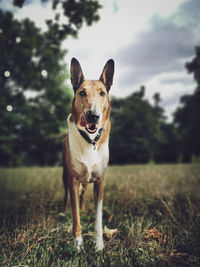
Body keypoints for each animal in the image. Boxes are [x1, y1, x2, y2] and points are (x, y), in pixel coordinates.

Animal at [63, 57, 115, 252]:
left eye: (102, 93)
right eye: (82, 93)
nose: (93, 116)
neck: (90, 140)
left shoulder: (99, 181)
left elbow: (98, 217)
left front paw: (99, 245)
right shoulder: (73, 180)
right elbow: (76, 217)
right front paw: (78, 245)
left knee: (83, 194)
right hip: (65, 175)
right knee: (67, 196)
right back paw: (63, 210)